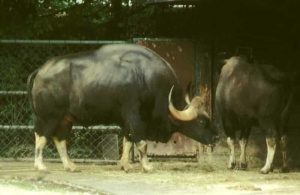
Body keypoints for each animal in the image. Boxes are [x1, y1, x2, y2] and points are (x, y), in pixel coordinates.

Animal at [27, 43, 217, 172]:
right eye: (201, 121)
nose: (215, 137)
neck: (147, 78)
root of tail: (41, 71)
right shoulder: (135, 116)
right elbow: (141, 142)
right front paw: (147, 166)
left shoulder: (127, 120)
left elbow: (127, 140)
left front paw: (125, 165)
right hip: (48, 116)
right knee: (41, 136)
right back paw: (40, 165)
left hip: (66, 118)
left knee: (59, 139)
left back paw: (70, 165)